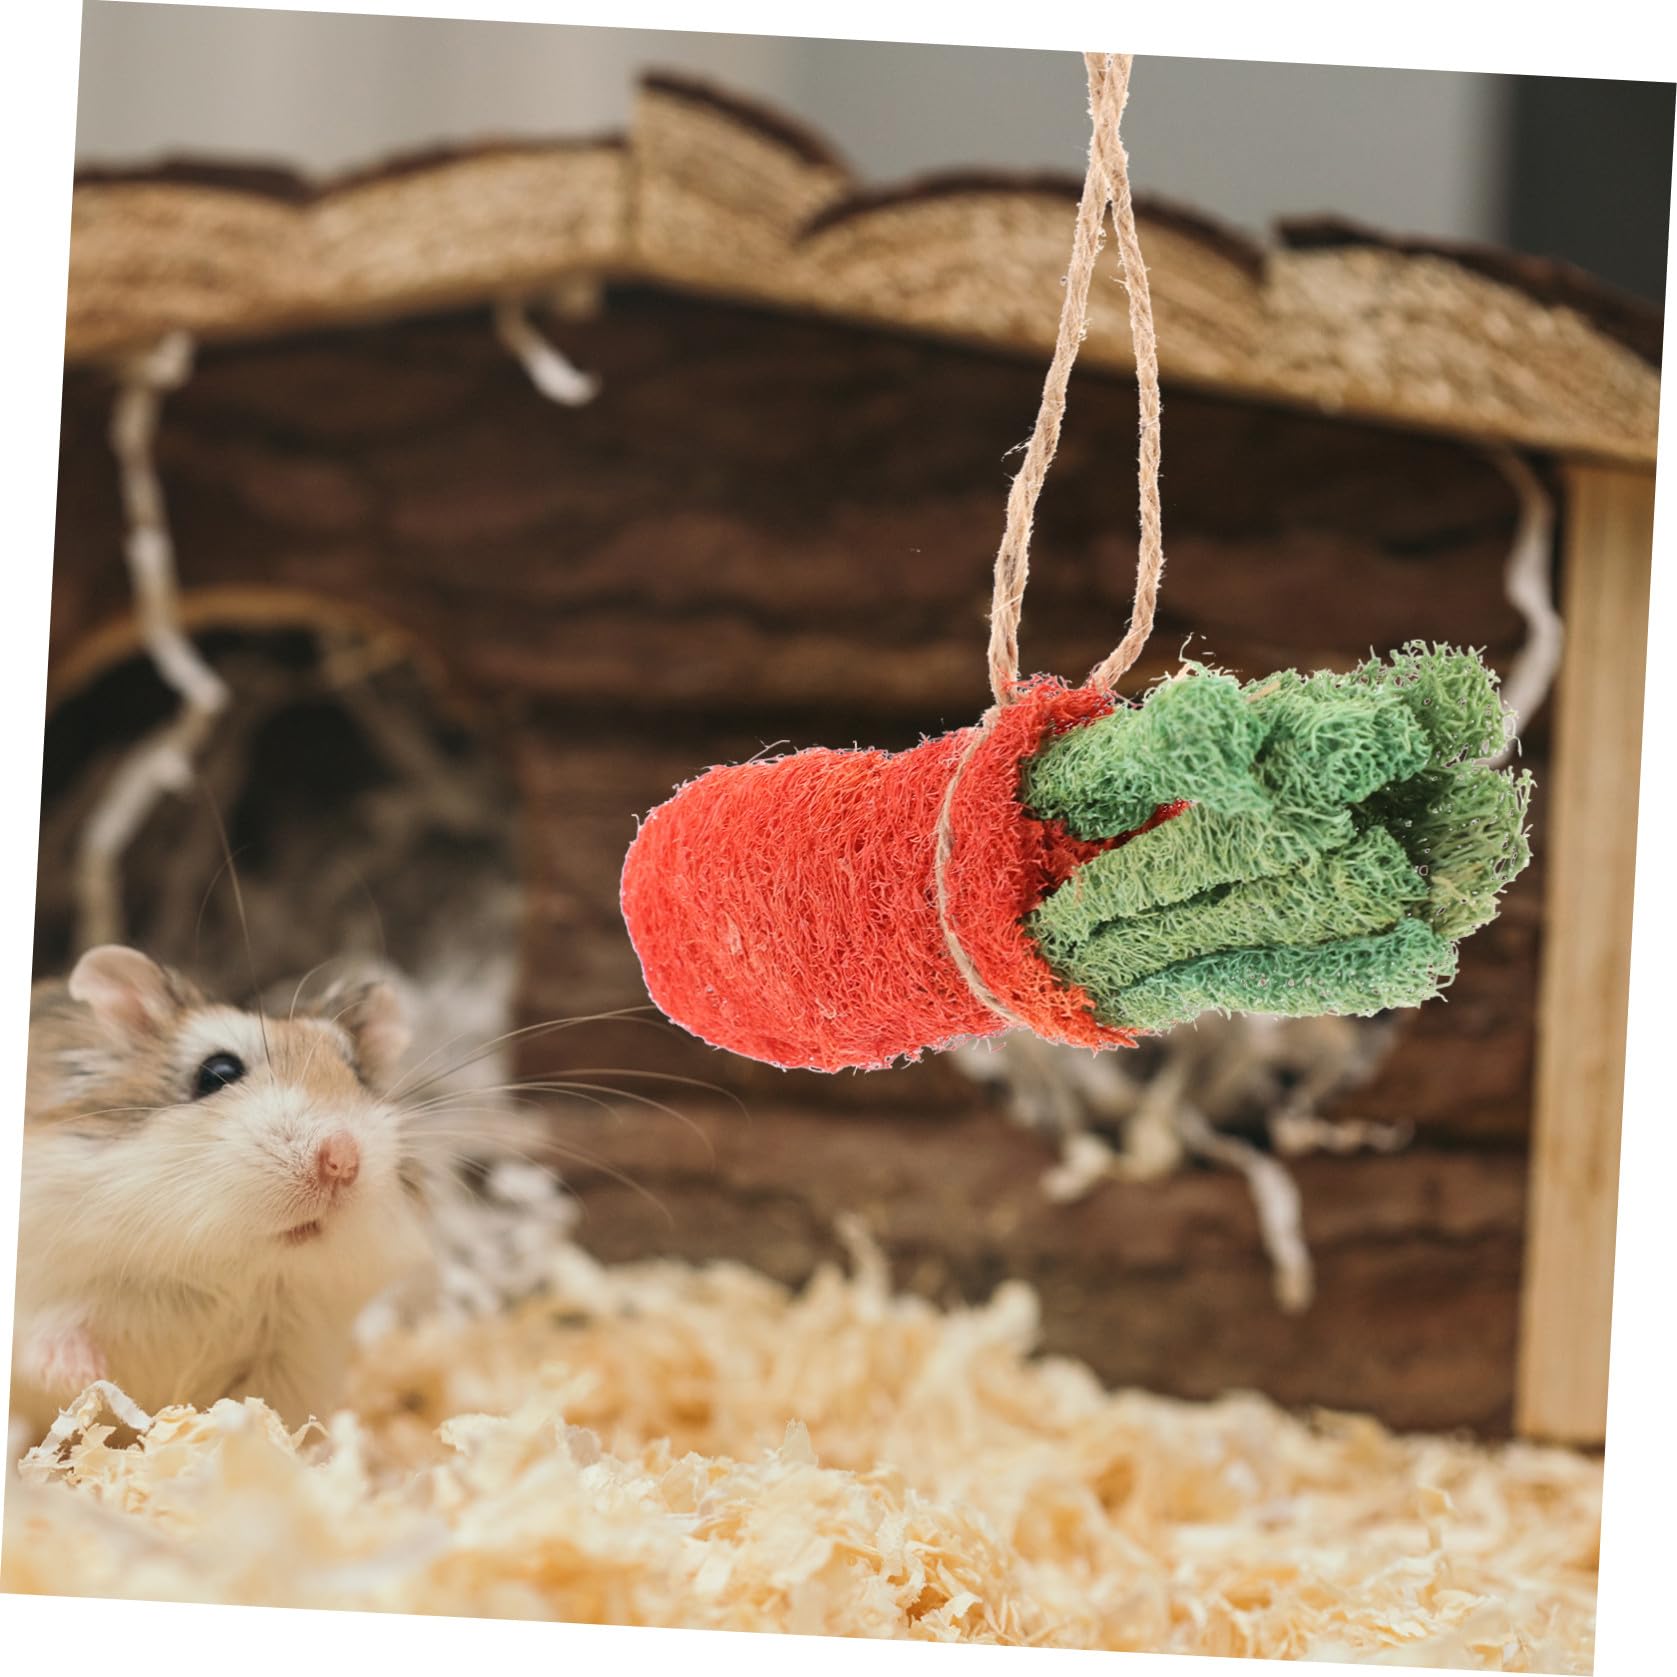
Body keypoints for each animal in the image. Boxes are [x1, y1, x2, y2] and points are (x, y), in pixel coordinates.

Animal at [11, 944, 437, 1441]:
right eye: (217, 1072)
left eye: (358, 1076)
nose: (342, 1160)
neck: (226, 1270)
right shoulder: (44, 1285)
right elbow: (52, 1334)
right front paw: (83, 1377)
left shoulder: (293, 1359)